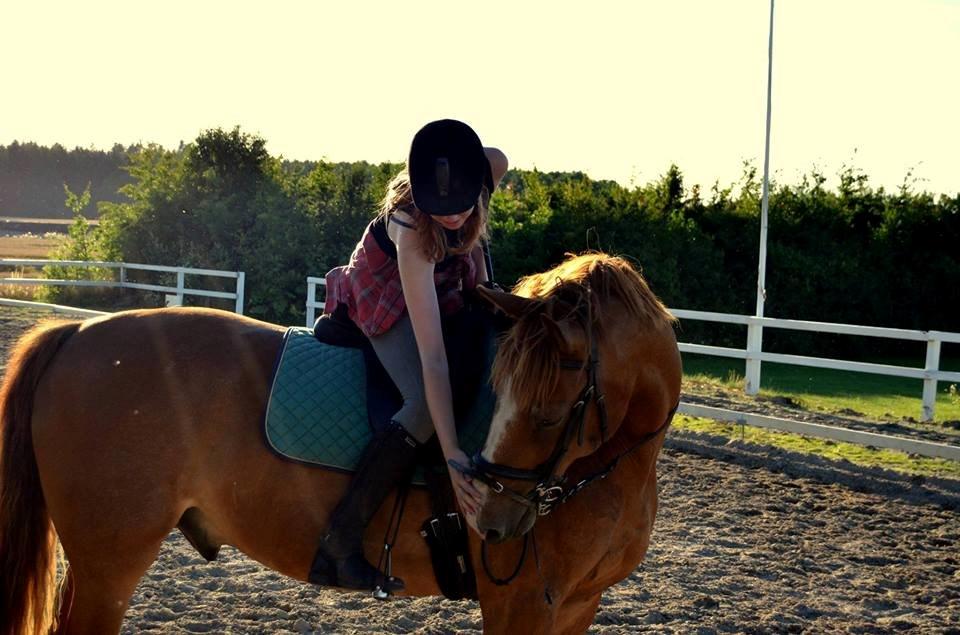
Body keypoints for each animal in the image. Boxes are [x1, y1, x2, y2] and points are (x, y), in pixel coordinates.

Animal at [0, 252, 681, 635]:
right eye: (503, 391)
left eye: (551, 408)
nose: (490, 520)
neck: (614, 467)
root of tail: (77, 333)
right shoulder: (521, 608)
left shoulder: (576, 606)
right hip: (109, 562)